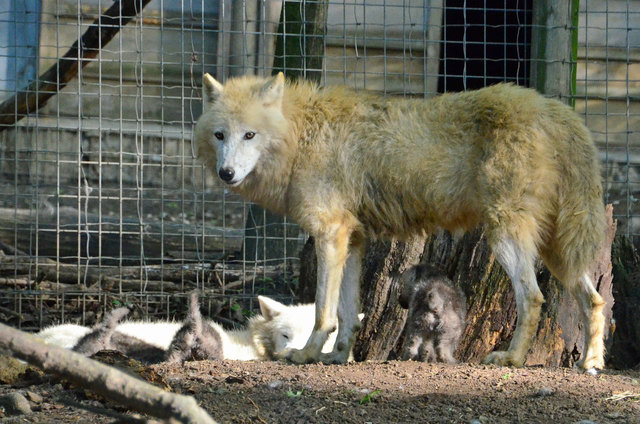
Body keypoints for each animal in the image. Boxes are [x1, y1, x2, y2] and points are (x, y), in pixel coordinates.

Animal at [194, 73, 606, 369]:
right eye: (220, 135)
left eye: (250, 134)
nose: (226, 173)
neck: (301, 137)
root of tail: (556, 110)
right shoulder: (352, 240)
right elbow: (347, 314)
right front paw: (337, 357)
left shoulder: (330, 234)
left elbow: (324, 312)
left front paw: (308, 355)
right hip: (559, 251)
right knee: (595, 300)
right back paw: (589, 363)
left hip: (506, 238)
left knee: (533, 298)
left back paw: (512, 359)